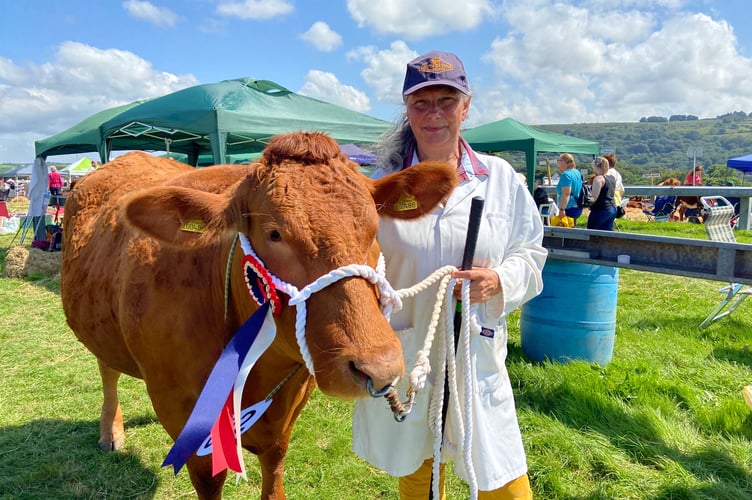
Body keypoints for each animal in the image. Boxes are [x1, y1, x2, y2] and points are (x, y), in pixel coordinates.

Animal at [60, 131, 458, 498]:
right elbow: (209, 479)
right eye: (274, 233)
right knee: (107, 369)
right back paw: (111, 432)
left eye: (375, 229)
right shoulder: (180, 410)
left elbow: (275, 466)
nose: (379, 367)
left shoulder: (289, 409)